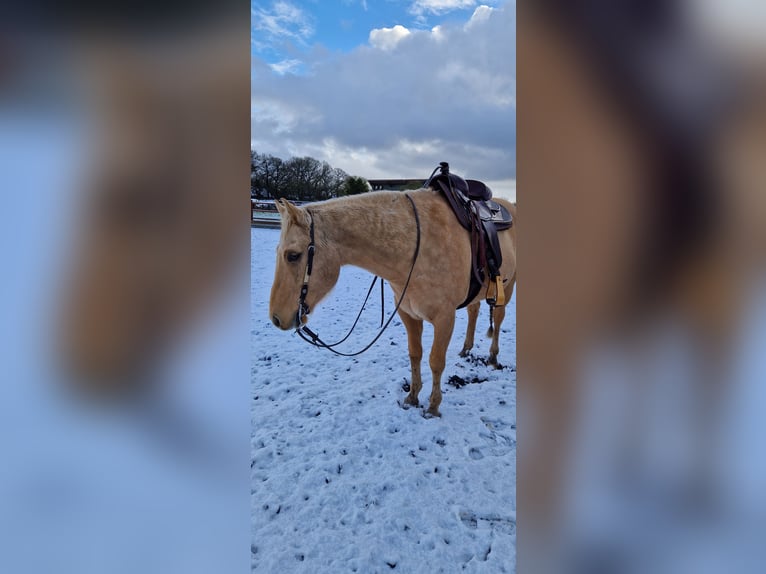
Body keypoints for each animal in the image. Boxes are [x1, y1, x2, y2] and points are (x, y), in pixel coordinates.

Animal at [268, 188, 517, 417]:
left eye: (293, 255)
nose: (276, 318)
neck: (417, 246)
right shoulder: (408, 314)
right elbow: (415, 353)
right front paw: (413, 396)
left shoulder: (445, 318)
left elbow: (436, 361)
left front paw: (433, 407)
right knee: (474, 311)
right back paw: (466, 348)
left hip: (506, 287)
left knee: (498, 319)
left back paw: (493, 357)